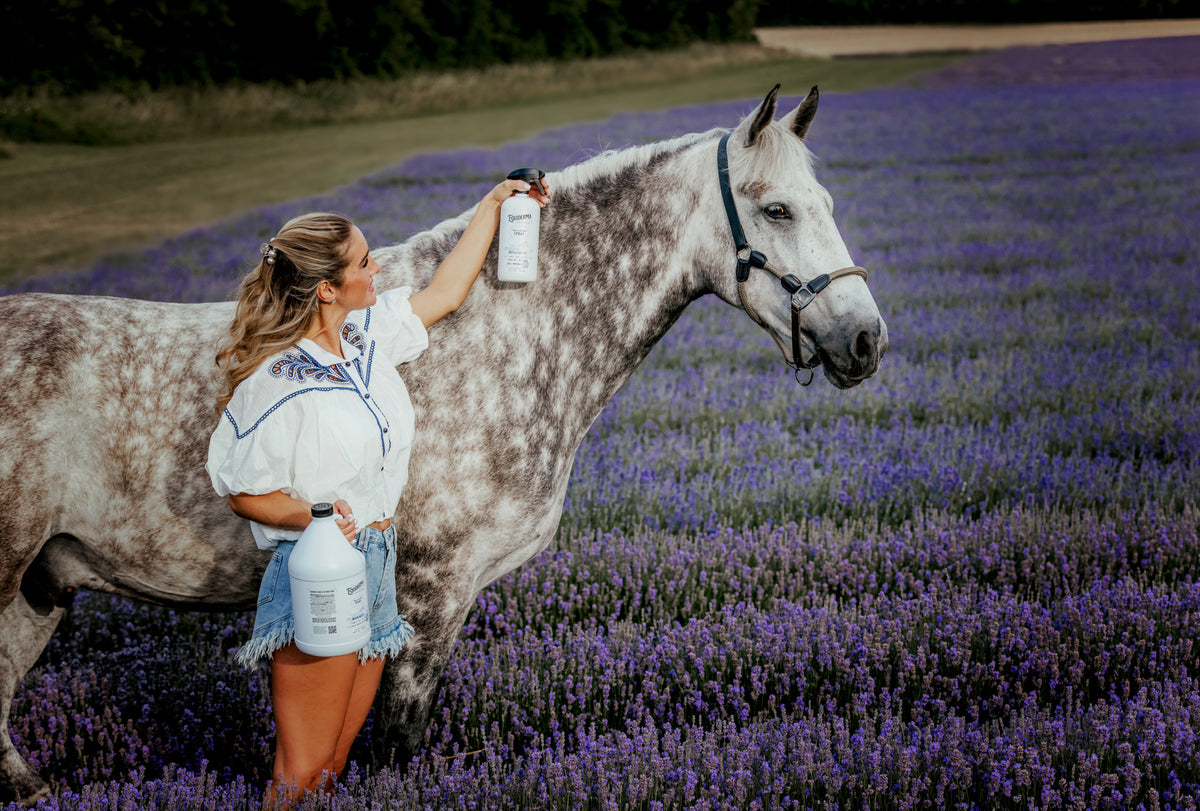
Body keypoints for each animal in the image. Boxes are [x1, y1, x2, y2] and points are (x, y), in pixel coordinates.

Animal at [0, 85, 887, 803]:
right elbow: (397, 737)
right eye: (776, 210)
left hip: (40, 588)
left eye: (826, 200)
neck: (505, 336)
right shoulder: (432, 590)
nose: (865, 339)